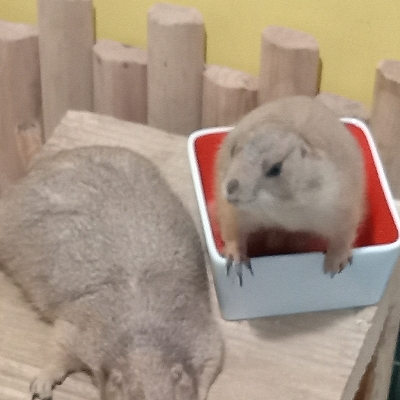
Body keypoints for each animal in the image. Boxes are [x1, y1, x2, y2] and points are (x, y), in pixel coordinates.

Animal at [0, 146, 223, 400]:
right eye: (131, 395)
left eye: (172, 394)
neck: (144, 339)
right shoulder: (83, 331)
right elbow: (58, 346)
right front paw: (42, 382)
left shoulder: (200, 332)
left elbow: (214, 356)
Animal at [215, 95, 365, 285]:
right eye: (234, 148)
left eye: (276, 168)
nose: (230, 188)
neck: (282, 206)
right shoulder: (234, 210)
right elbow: (232, 226)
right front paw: (235, 260)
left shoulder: (340, 200)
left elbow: (344, 231)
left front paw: (334, 265)